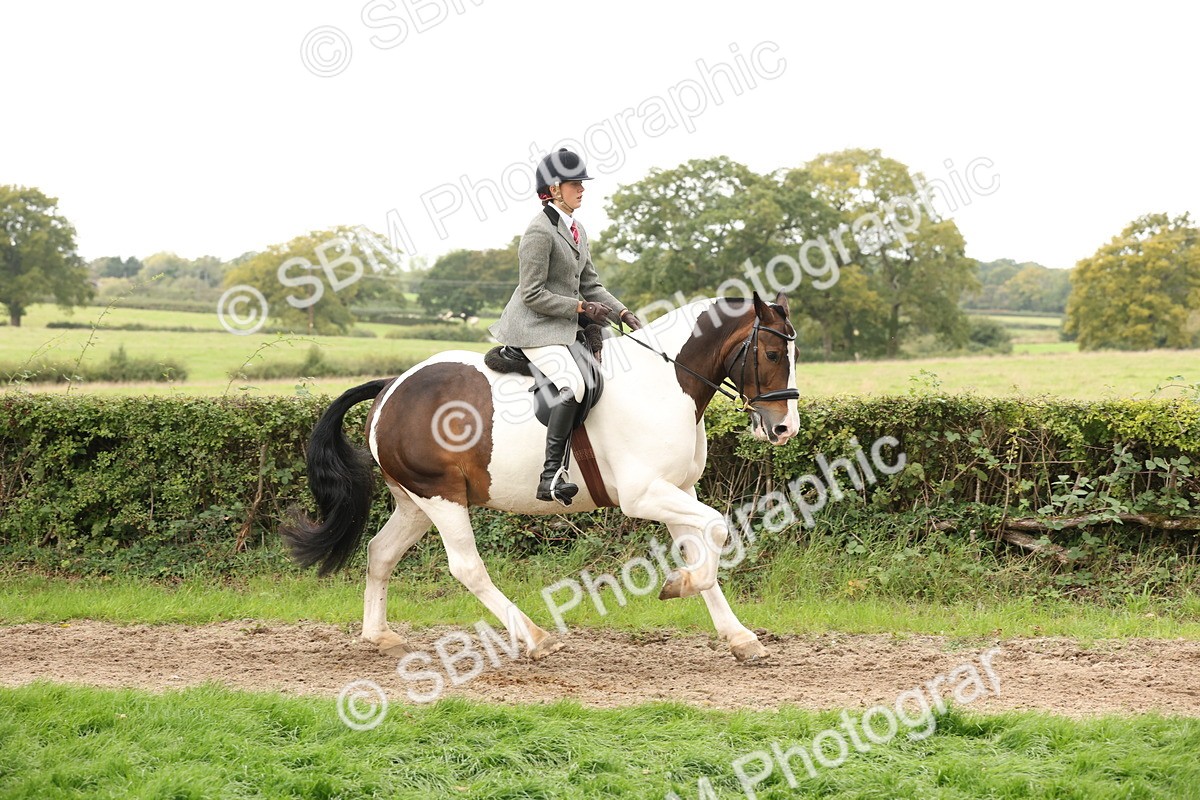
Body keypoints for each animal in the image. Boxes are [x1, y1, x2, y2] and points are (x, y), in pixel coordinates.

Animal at [280, 292, 800, 664]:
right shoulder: (644, 493)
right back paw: (535, 637)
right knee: (466, 567)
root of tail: (392, 385)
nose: (785, 429)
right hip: (441, 496)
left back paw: (379, 636)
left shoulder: (678, 489)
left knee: (380, 552)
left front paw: (739, 637)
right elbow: (716, 527)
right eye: (773, 353)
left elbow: (701, 544)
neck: (664, 383)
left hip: (416, 502)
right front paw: (678, 586)